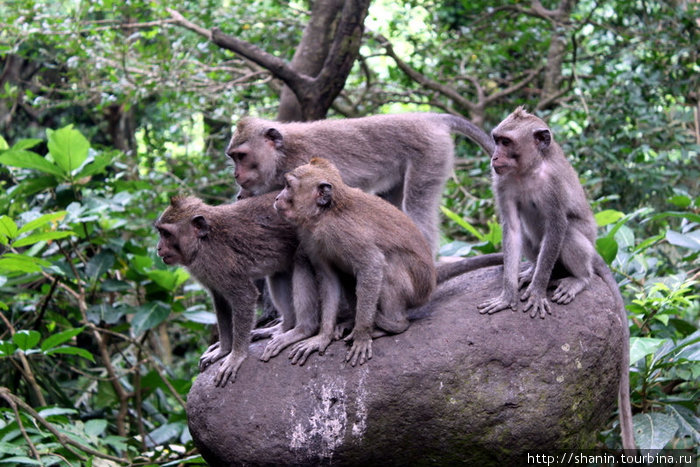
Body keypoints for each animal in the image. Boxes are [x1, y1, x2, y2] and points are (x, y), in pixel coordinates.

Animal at [154, 192, 318, 386]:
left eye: (166, 234)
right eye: (161, 233)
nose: (158, 248)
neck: (203, 242)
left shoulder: (218, 261)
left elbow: (245, 295)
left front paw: (236, 356)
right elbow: (220, 301)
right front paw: (223, 350)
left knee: (301, 260)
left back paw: (302, 330)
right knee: (278, 275)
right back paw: (284, 327)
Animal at [227, 112, 494, 252]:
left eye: (242, 156)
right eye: (233, 157)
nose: (236, 176)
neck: (282, 154)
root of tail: (429, 117)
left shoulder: (298, 170)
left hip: (430, 153)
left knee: (417, 205)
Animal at [476, 108, 636, 452]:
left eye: (506, 142)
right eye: (497, 139)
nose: (494, 156)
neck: (529, 169)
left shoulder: (552, 185)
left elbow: (557, 225)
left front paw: (537, 293)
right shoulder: (501, 181)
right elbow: (512, 228)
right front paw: (508, 293)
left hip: (585, 247)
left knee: (569, 235)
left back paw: (576, 279)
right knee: (530, 234)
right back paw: (529, 270)